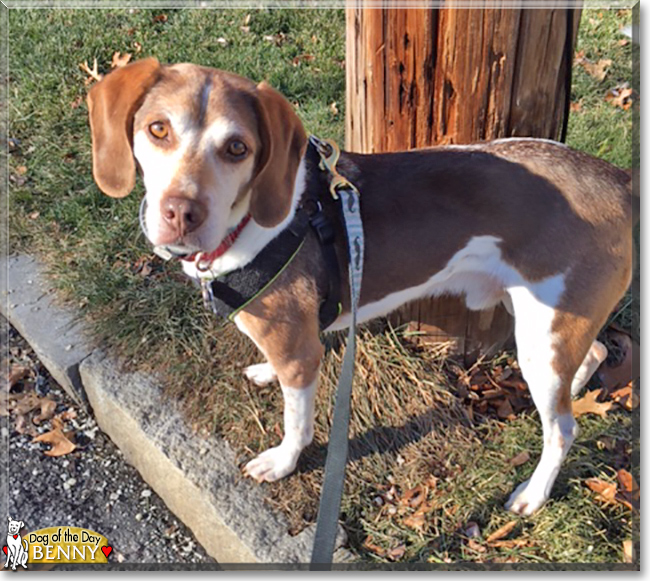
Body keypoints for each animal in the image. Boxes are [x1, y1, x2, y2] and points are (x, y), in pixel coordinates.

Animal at [86, 56, 632, 516]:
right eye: (158, 129)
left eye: (237, 148)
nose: (180, 213)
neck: (248, 223)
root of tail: (617, 179)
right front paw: (265, 372)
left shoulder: (301, 355)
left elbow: (298, 422)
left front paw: (282, 462)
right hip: (545, 324)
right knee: (592, 358)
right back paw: (573, 390)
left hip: (541, 333)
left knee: (563, 429)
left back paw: (533, 494)